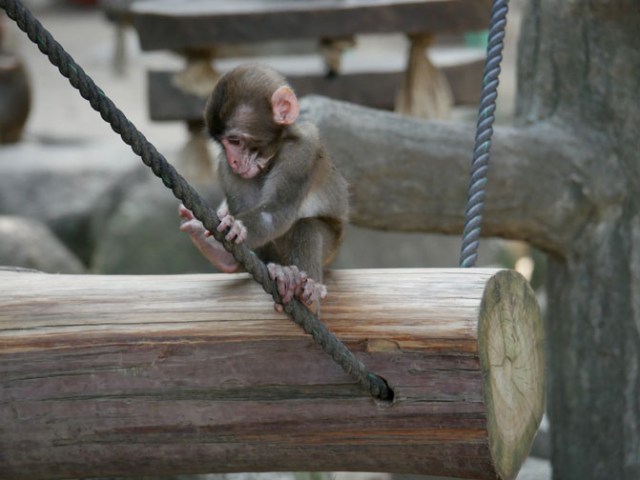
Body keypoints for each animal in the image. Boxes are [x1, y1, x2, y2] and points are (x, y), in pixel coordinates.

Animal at [179, 64, 349, 312]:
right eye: (222, 144)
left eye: (235, 141)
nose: (234, 161)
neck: (275, 152)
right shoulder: (226, 169)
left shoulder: (302, 152)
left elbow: (276, 212)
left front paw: (236, 226)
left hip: (333, 244)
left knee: (308, 227)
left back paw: (307, 293)